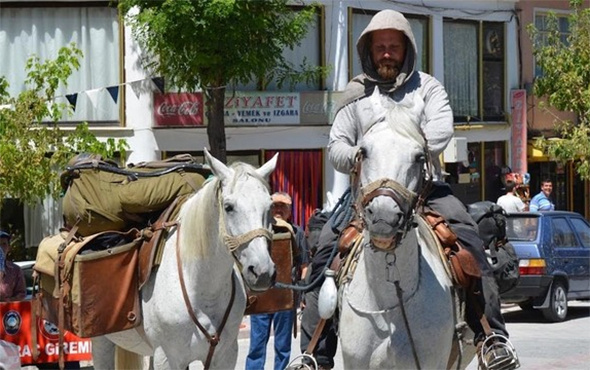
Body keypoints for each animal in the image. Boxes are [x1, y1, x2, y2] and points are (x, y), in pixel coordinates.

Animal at [91, 149, 278, 370]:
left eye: (270, 205)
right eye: (229, 207)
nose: (262, 272)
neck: (202, 289)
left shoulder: (226, 355)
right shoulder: (167, 358)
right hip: (101, 340)